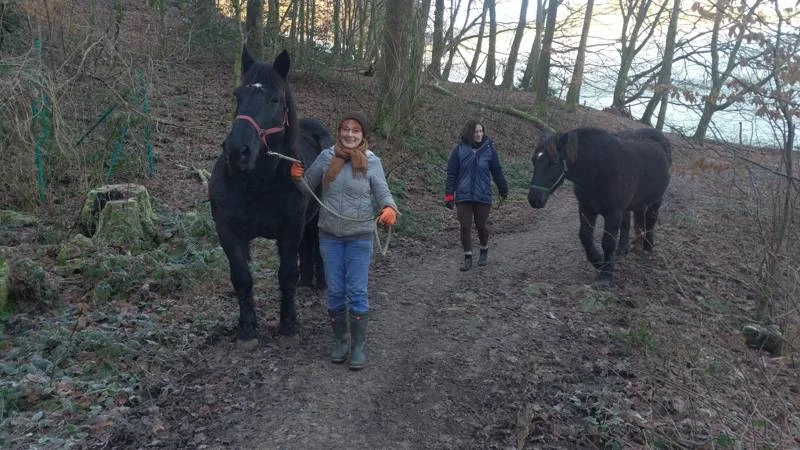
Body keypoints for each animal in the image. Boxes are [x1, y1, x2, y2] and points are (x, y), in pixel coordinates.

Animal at [209, 48, 332, 344]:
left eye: (274, 99)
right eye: (238, 95)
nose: (236, 151)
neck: (258, 183)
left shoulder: (291, 228)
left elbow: (286, 274)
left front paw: (288, 324)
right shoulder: (228, 231)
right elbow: (241, 277)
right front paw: (247, 329)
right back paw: (305, 282)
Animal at [528, 126, 672, 284]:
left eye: (553, 163)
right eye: (534, 160)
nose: (534, 199)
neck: (599, 169)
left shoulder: (613, 213)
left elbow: (608, 242)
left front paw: (606, 275)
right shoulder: (586, 209)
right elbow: (585, 236)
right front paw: (598, 261)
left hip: (656, 200)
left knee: (650, 221)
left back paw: (647, 249)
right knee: (628, 223)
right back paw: (622, 250)